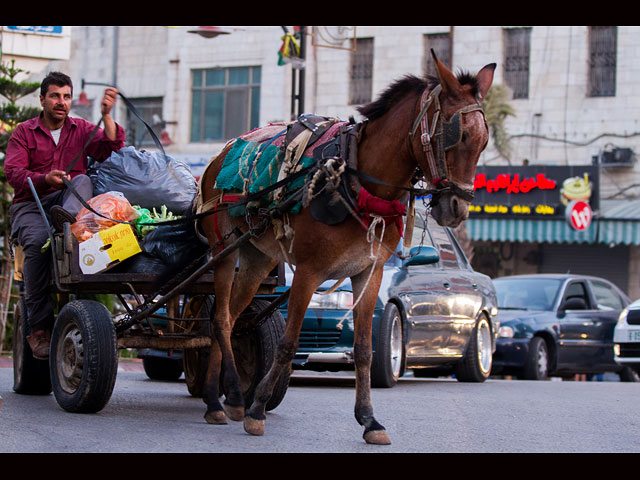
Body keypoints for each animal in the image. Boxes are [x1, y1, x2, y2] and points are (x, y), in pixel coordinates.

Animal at [198, 50, 498, 444]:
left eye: (484, 140)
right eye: (456, 134)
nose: (457, 208)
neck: (356, 177)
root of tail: (219, 156)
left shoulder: (369, 273)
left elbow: (365, 350)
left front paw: (369, 419)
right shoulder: (309, 272)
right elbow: (289, 343)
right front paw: (258, 408)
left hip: (257, 258)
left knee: (230, 318)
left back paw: (221, 398)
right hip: (225, 248)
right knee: (219, 319)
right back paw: (226, 398)